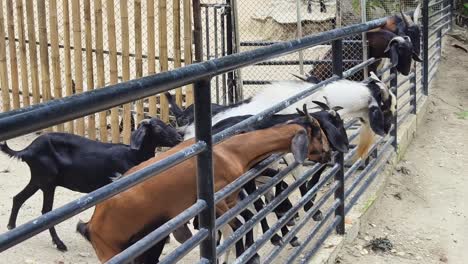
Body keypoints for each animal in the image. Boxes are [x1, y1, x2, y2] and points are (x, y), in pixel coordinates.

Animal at [0, 117, 183, 252]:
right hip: (47, 181)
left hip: (39, 179)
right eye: (157, 129)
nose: (179, 138)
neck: (133, 155)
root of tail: (28, 150)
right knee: (46, 211)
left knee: (18, 198)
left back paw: (11, 226)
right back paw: (59, 244)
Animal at [77, 106, 340, 262]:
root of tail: (90, 224)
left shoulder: (232, 199)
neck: (231, 150)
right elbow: (237, 226)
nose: (330, 154)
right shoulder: (219, 199)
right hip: (110, 250)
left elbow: (239, 225)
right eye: (318, 132)